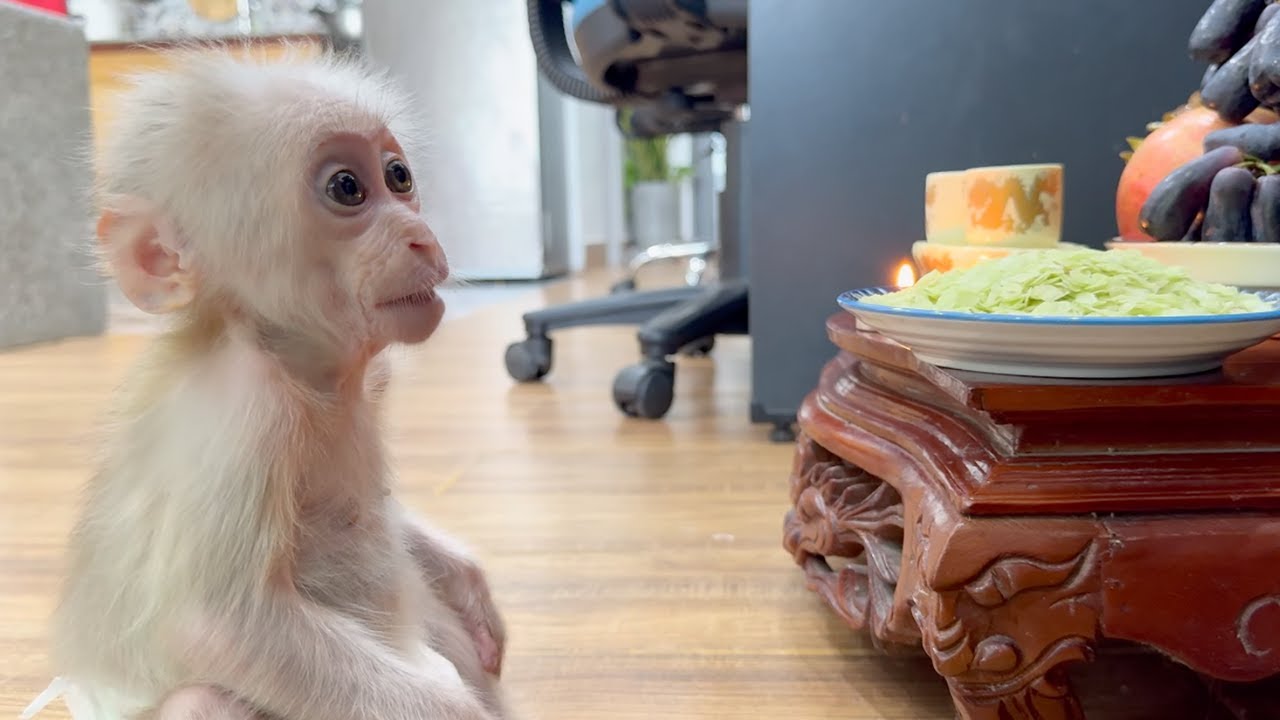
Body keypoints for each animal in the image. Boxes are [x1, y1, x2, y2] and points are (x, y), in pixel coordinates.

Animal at [24, 47, 513, 720]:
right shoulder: (242, 412)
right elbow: (221, 624)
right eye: (347, 187)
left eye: (399, 177)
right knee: (206, 698)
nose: (421, 237)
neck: (309, 367)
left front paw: (464, 578)